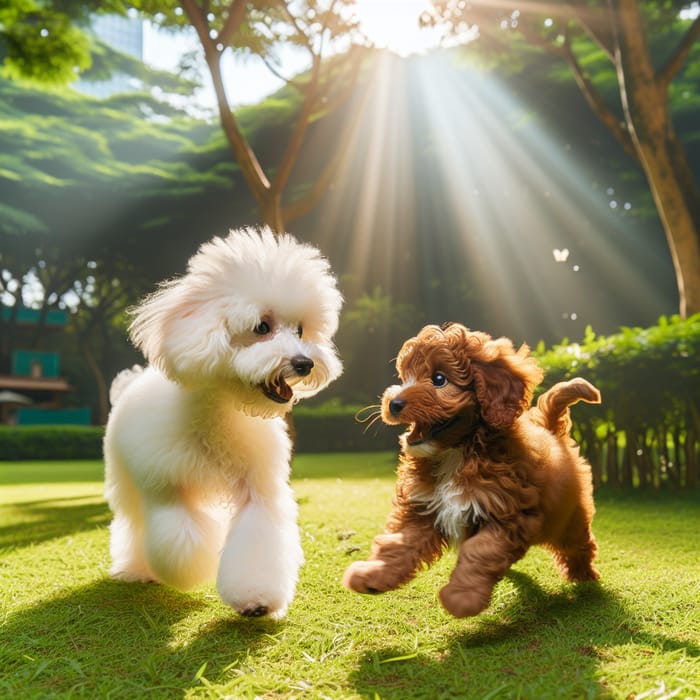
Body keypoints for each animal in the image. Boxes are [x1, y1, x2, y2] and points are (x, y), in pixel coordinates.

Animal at [103, 228, 342, 616]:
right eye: (262, 326)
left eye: (300, 329)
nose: (304, 363)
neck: (222, 415)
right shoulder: (164, 486)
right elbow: (179, 537)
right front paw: (190, 568)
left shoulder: (259, 487)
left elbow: (258, 535)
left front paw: (256, 599)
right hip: (126, 482)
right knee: (133, 525)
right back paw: (136, 568)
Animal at [342, 322, 600, 616]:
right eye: (405, 376)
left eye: (439, 379)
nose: (393, 403)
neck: (456, 454)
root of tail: (550, 429)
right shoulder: (423, 508)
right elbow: (399, 543)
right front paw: (372, 575)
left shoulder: (508, 515)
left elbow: (480, 551)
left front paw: (461, 596)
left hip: (569, 520)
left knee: (579, 544)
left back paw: (585, 577)